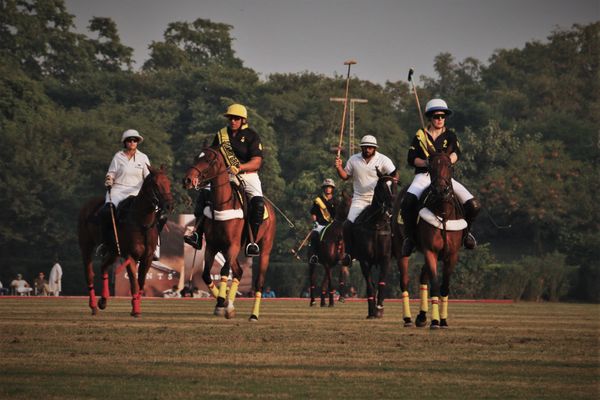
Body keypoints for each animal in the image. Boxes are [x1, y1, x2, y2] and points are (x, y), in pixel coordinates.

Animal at [78, 166, 173, 316]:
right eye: (156, 185)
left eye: (169, 183)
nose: (169, 206)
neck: (142, 222)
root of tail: (87, 204)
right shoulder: (130, 255)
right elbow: (134, 283)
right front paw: (135, 310)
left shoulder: (147, 258)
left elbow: (141, 282)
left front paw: (136, 306)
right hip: (86, 245)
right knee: (89, 274)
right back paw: (93, 306)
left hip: (113, 251)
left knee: (103, 266)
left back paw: (103, 301)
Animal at [183, 147, 276, 322]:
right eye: (196, 157)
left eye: (208, 160)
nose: (188, 180)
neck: (222, 204)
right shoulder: (212, 246)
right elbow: (206, 275)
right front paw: (223, 303)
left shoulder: (233, 245)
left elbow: (225, 271)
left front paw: (221, 302)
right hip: (225, 250)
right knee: (238, 271)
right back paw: (230, 305)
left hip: (265, 248)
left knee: (259, 282)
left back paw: (254, 315)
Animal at [352, 171, 398, 318]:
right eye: (381, 187)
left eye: (394, 185)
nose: (391, 207)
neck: (376, 224)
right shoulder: (364, 260)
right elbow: (369, 285)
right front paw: (372, 311)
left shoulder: (385, 258)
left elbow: (381, 282)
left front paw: (379, 307)